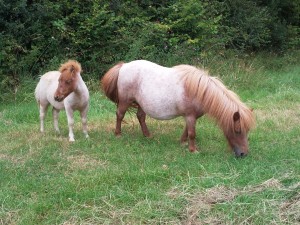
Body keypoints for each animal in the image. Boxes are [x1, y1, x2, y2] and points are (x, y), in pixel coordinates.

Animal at [101, 59, 255, 157]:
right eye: (237, 130)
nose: (243, 154)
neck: (200, 91)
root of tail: (124, 66)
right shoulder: (190, 116)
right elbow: (192, 133)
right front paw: (193, 150)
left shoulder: (191, 116)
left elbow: (187, 130)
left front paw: (182, 143)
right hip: (125, 101)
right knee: (120, 115)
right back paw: (118, 134)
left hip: (141, 103)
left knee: (141, 116)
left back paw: (148, 135)